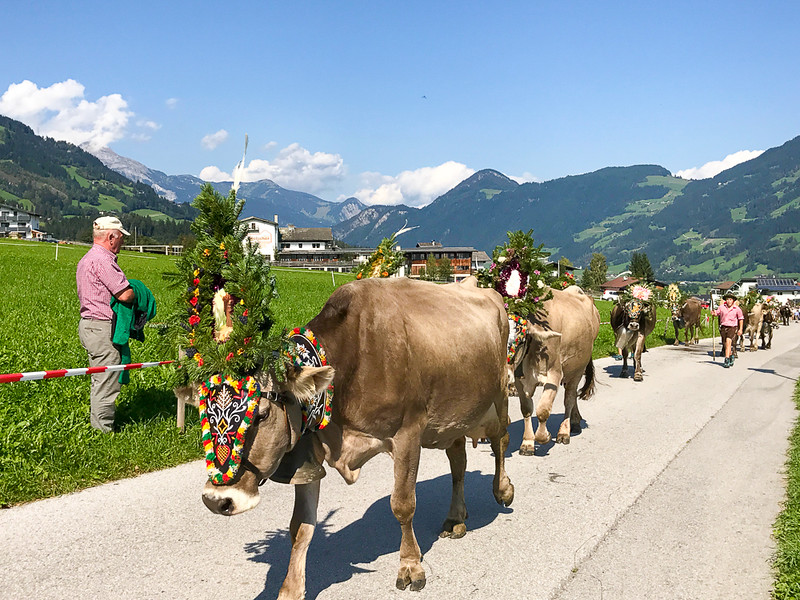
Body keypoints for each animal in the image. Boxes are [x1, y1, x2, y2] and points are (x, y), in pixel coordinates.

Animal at [198, 276, 512, 596]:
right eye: (203, 415)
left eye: (261, 414)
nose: (216, 500)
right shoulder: (312, 447)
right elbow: (300, 526)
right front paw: (290, 590)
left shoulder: (408, 433)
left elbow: (403, 504)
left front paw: (411, 566)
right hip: (456, 416)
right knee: (458, 462)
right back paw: (456, 518)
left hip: (499, 393)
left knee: (501, 440)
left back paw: (503, 490)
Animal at [512, 286, 600, 450]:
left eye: (518, 340)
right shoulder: (519, 379)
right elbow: (526, 409)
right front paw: (527, 443)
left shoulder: (554, 374)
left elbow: (543, 410)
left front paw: (544, 436)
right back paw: (575, 421)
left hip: (578, 368)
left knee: (569, 398)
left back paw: (564, 432)